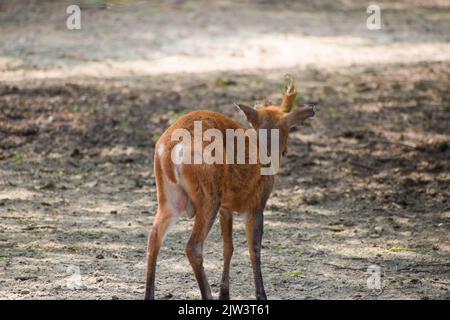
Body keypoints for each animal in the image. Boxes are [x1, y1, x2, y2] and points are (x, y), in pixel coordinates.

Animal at [146, 75, 314, 300]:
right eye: (290, 129)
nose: (285, 151)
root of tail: (170, 146)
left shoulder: (226, 208)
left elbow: (228, 247)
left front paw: (224, 294)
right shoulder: (256, 202)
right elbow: (254, 248)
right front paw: (261, 295)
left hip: (170, 197)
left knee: (154, 236)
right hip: (208, 193)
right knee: (193, 246)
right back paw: (206, 295)